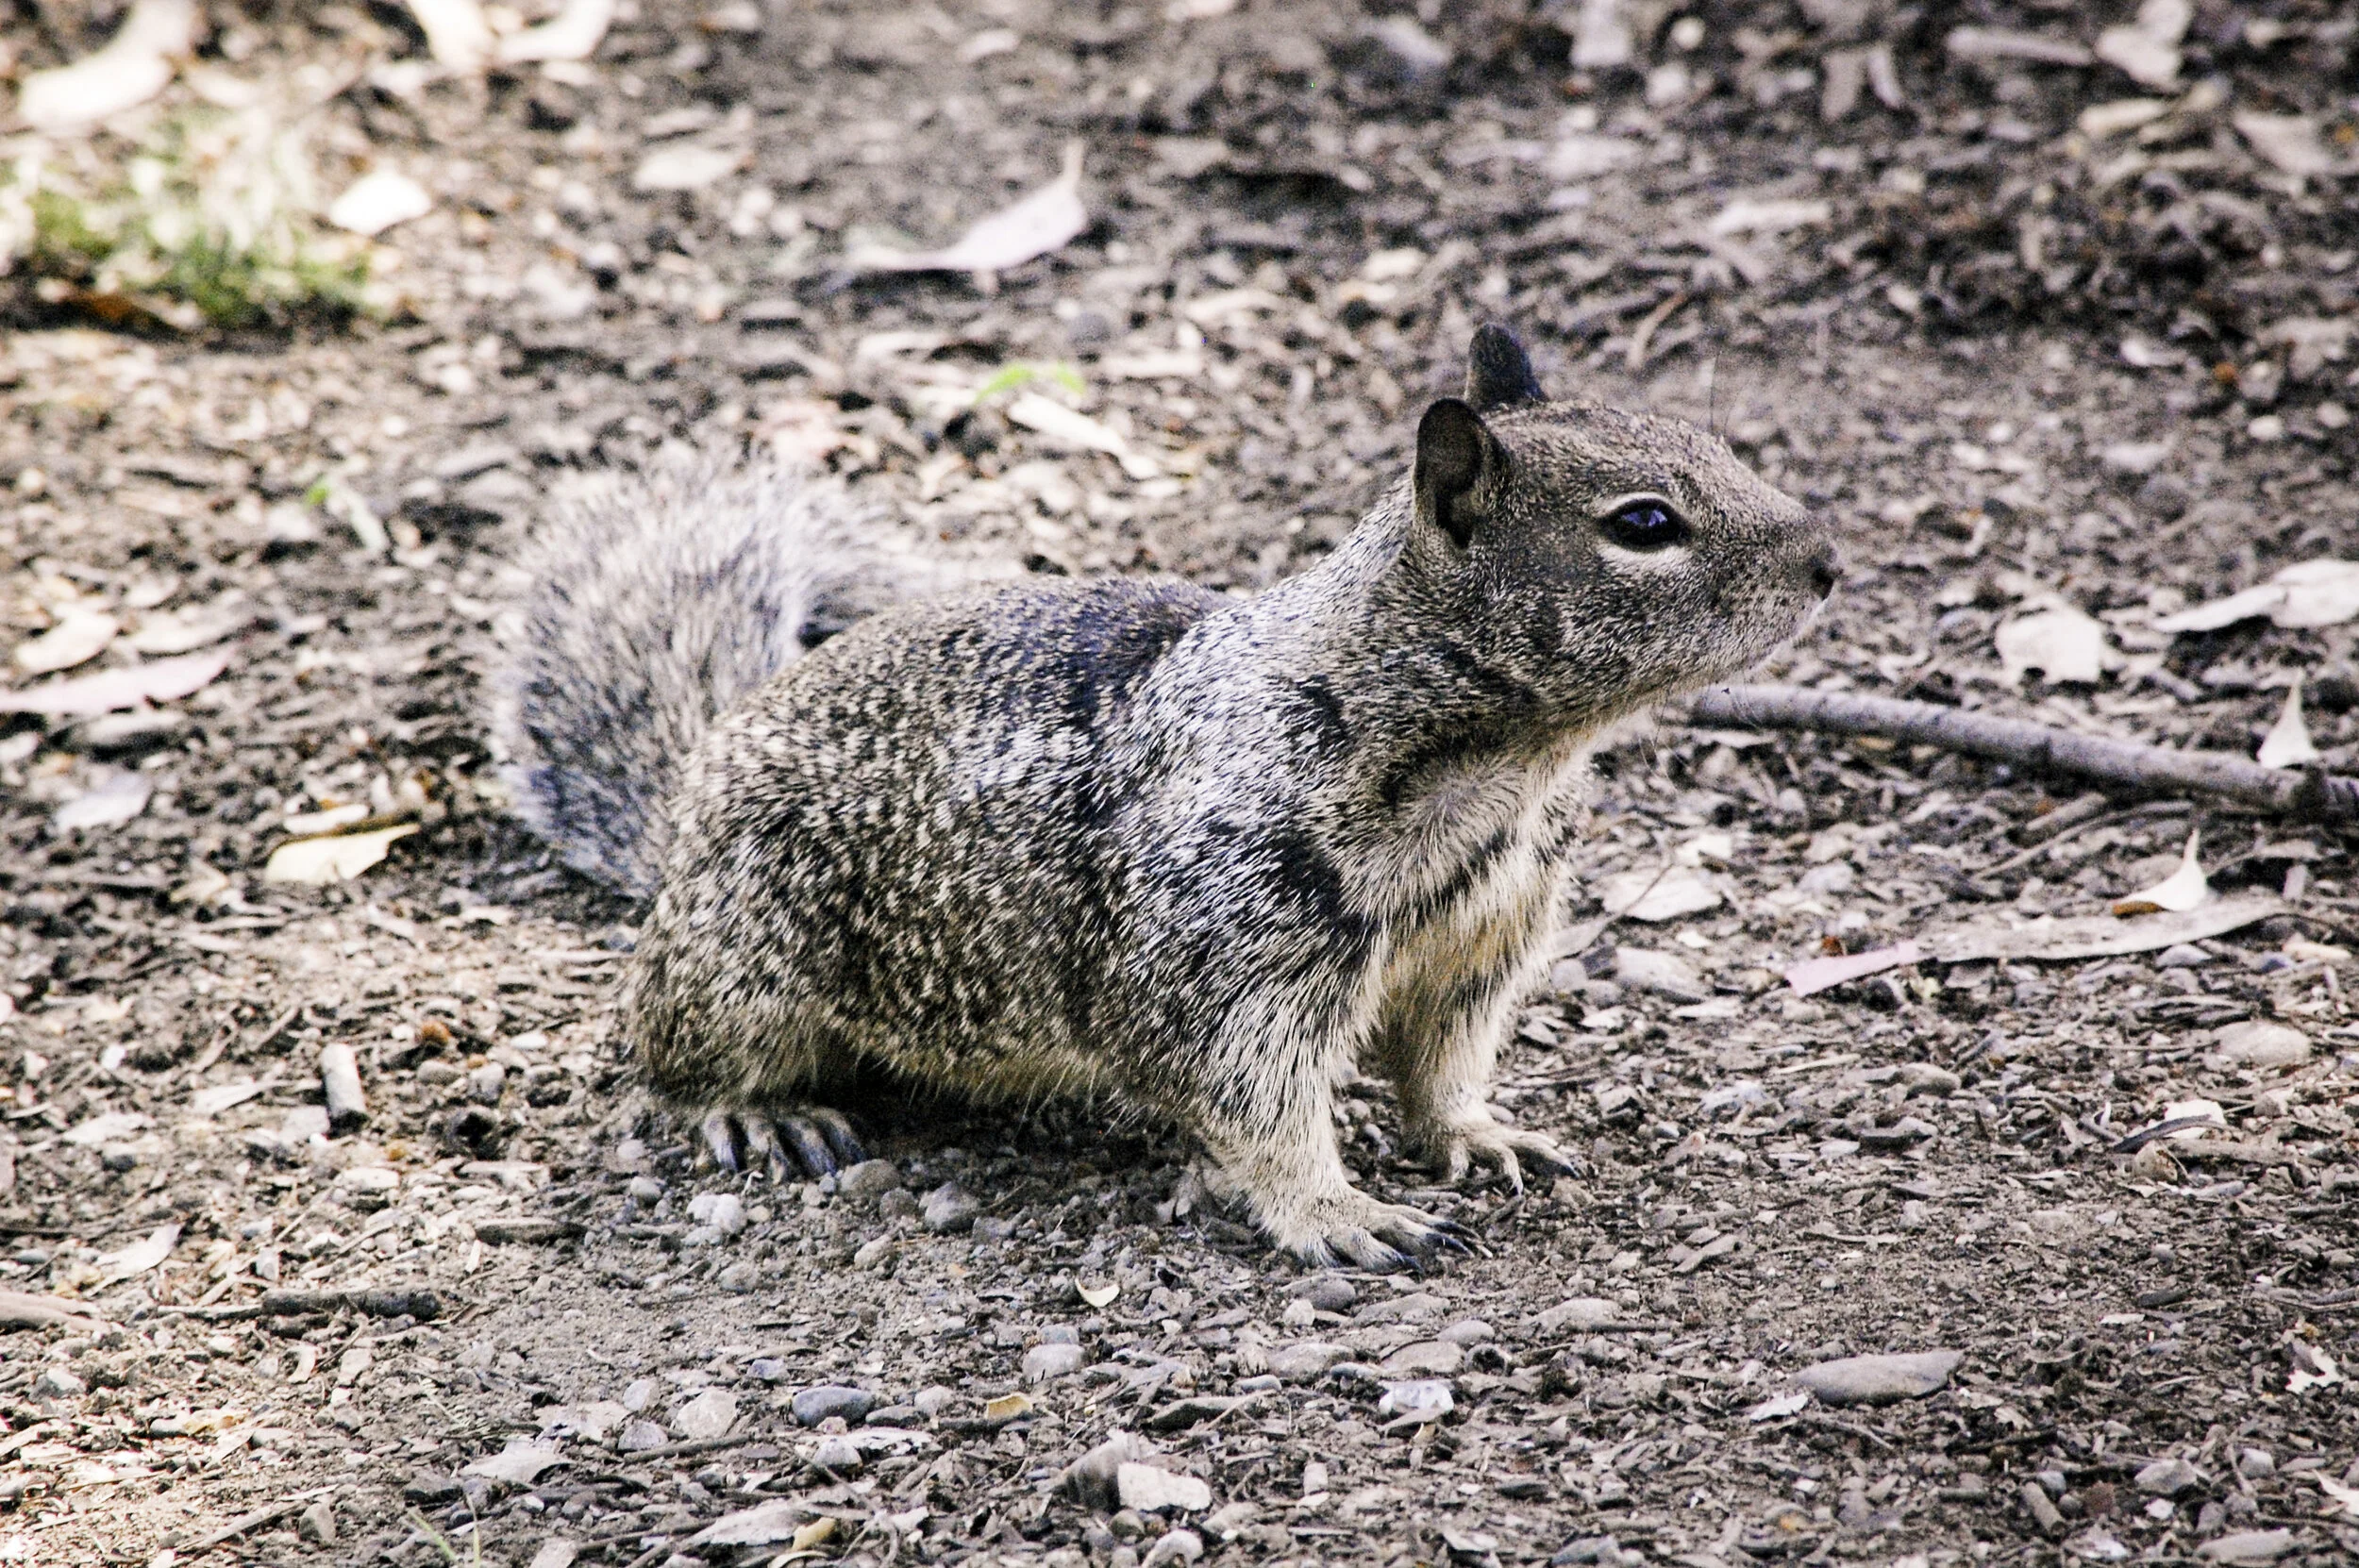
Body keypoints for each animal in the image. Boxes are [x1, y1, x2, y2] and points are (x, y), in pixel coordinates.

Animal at [493, 325, 1836, 1267]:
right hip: (743, 957)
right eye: (1644, 525)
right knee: (670, 1052)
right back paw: (760, 1113)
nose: (1828, 561)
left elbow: (1445, 1061)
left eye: (1715, 447)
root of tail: (690, 793)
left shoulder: (1481, 939)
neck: (1500, 771)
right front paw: (1336, 1210)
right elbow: (1254, 1098)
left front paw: (1476, 1131)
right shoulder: (1228, 945)